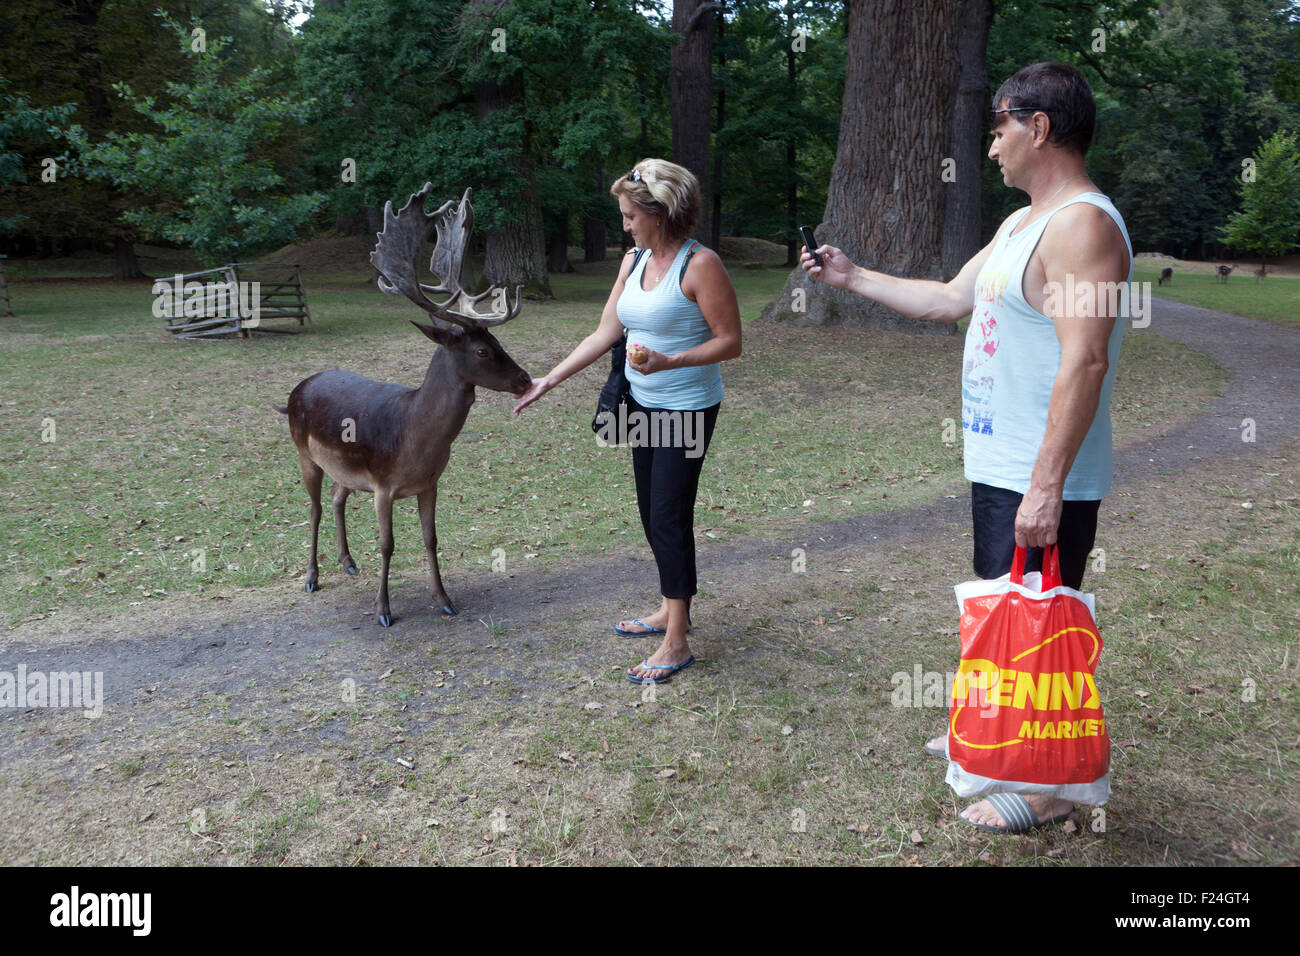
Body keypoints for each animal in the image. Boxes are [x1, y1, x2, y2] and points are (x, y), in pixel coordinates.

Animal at [282, 184, 530, 629]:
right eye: (482, 350)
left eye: (499, 342)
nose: (526, 380)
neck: (415, 439)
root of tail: (297, 388)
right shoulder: (383, 486)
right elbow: (388, 545)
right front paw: (384, 610)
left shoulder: (430, 483)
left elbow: (431, 538)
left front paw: (444, 599)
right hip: (304, 453)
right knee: (314, 508)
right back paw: (312, 577)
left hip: (343, 468)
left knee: (337, 498)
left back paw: (348, 562)